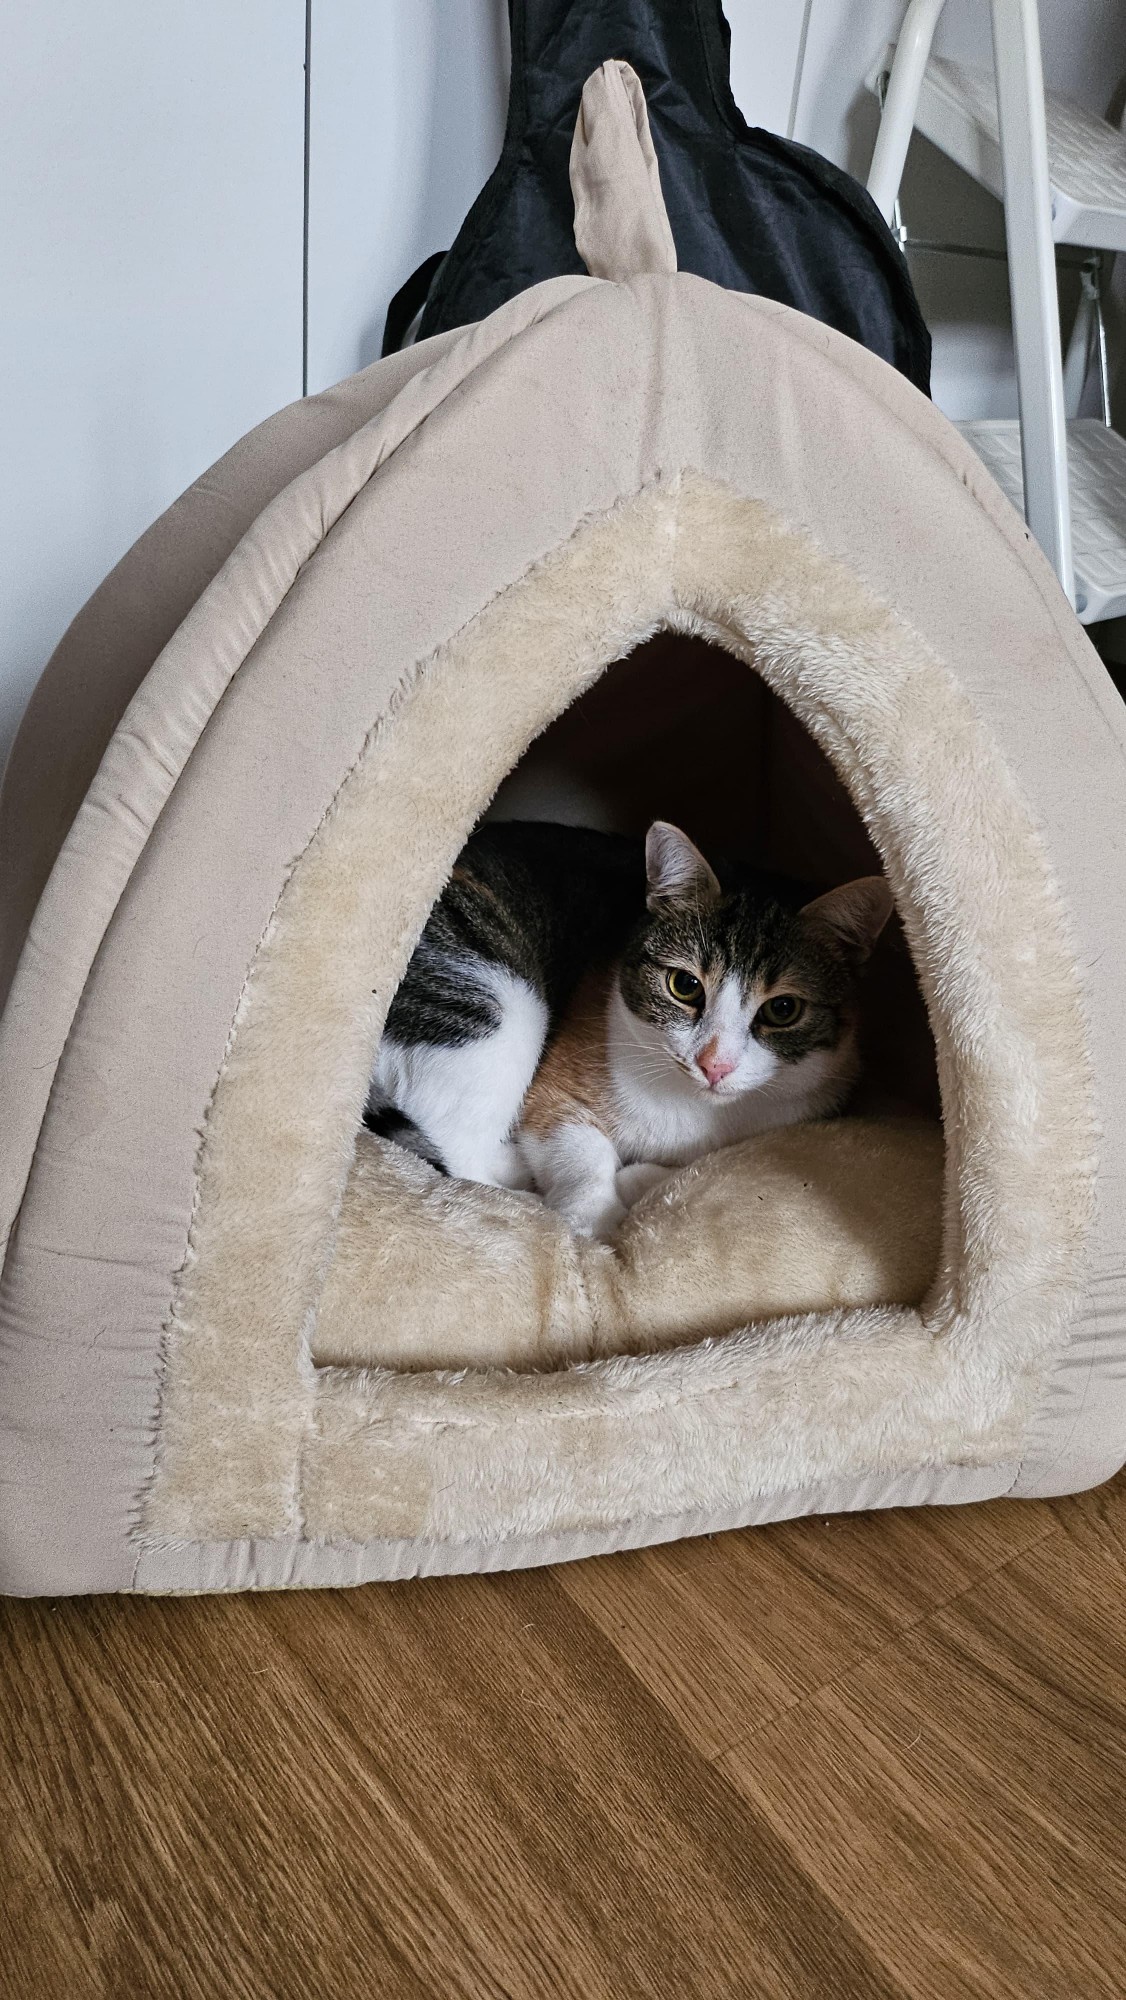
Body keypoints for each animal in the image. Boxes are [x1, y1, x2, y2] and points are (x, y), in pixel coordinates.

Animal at [366, 820, 892, 1241]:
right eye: (685, 985)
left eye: (783, 1009)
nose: (714, 1063)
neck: (693, 1110)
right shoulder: (554, 1091)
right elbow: (583, 1153)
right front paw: (593, 1216)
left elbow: (694, 1167)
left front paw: (638, 1178)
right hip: (492, 1006)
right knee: (457, 1149)